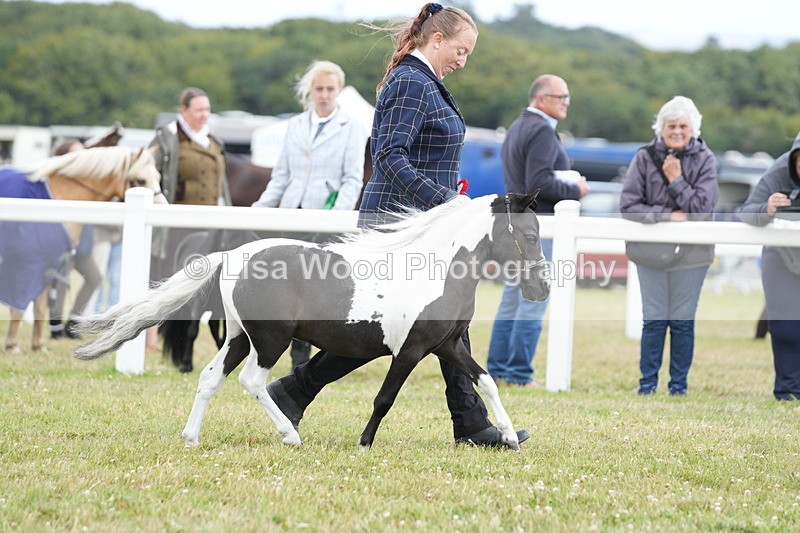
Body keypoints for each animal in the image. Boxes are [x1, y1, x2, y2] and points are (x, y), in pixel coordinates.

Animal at [1, 146, 165, 352]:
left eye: (158, 176)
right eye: (141, 180)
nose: (163, 207)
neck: (58, 198)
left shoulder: (50, 262)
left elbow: (40, 304)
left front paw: (38, 346)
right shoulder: (29, 262)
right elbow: (20, 304)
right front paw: (12, 345)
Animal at [74, 192, 549, 450]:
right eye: (529, 235)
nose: (542, 289)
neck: (435, 270)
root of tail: (231, 255)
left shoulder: (447, 345)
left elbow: (484, 381)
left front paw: (508, 437)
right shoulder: (411, 350)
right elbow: (384, 398)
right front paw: (364, 444)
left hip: (239, 337)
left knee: (210, 377)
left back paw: (191, 437)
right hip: (270, 340)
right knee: (252, 381)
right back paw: (290, 435)